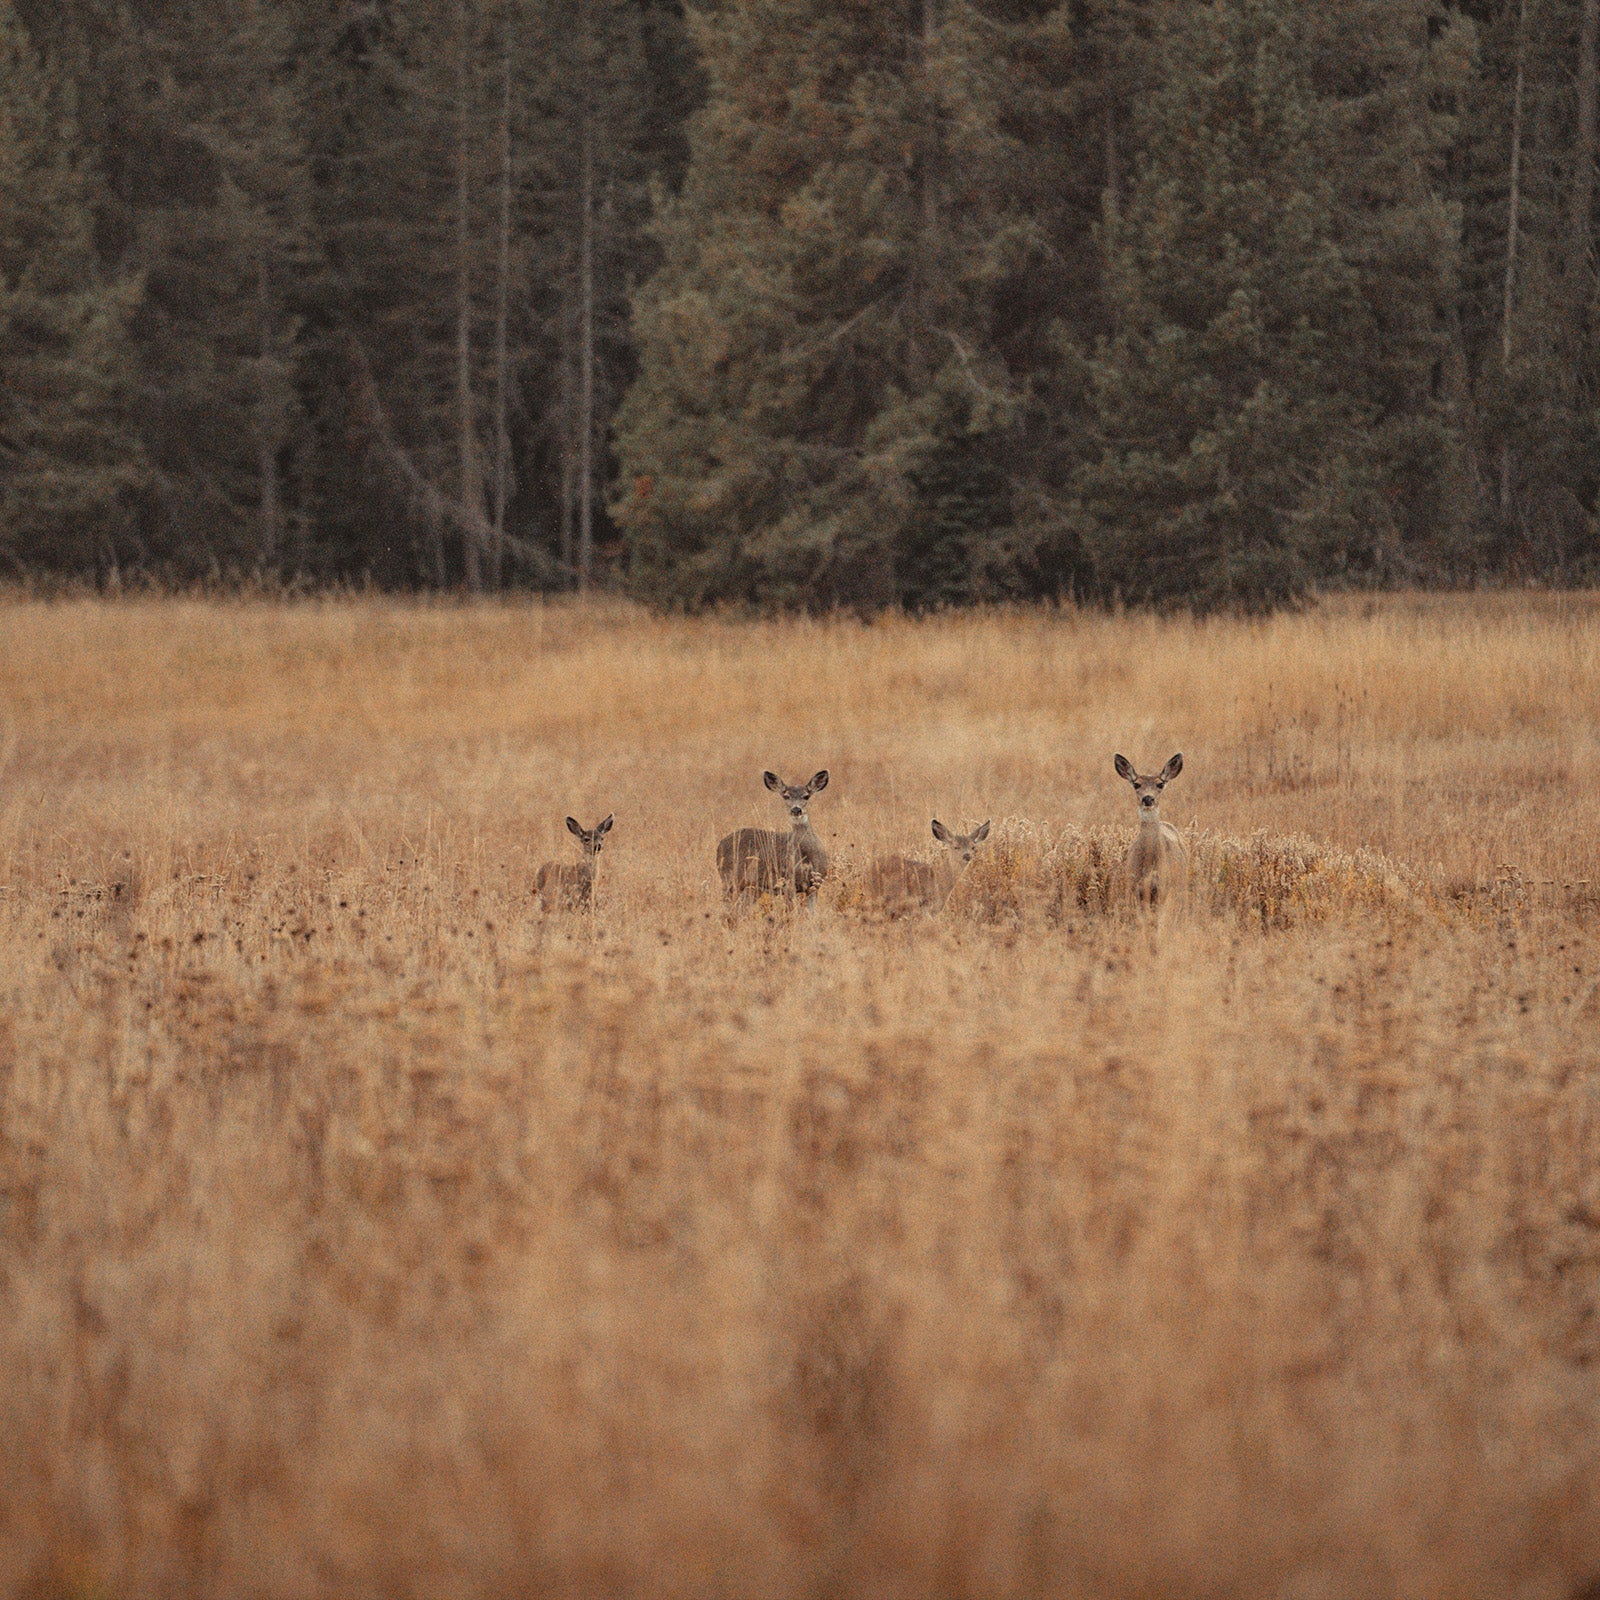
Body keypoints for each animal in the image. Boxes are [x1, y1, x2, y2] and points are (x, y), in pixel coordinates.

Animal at [720, 768, 832, 908]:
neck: (807, 856)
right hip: (729, 880)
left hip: (751, 888)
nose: (796, 810)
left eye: (806, 796)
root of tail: (719, 845)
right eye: (786, 796)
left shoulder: (814, 885)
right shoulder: (788, 883)